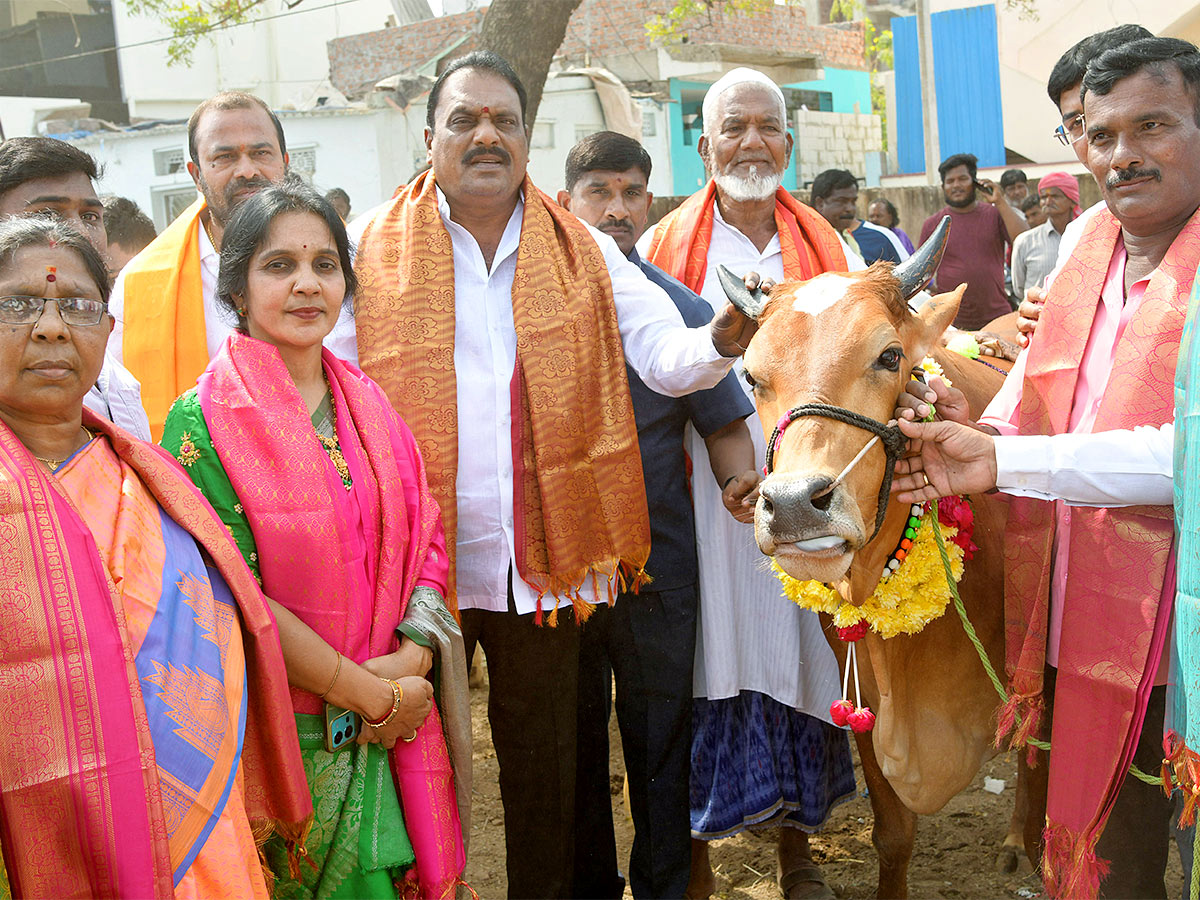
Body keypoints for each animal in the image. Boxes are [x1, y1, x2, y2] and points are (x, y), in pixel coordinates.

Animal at [715, 220, 1036, 900]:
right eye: (750, 376)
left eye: (890, 357)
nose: (793, 505)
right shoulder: (862, 689)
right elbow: (893, 835)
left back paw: (1017, 840)